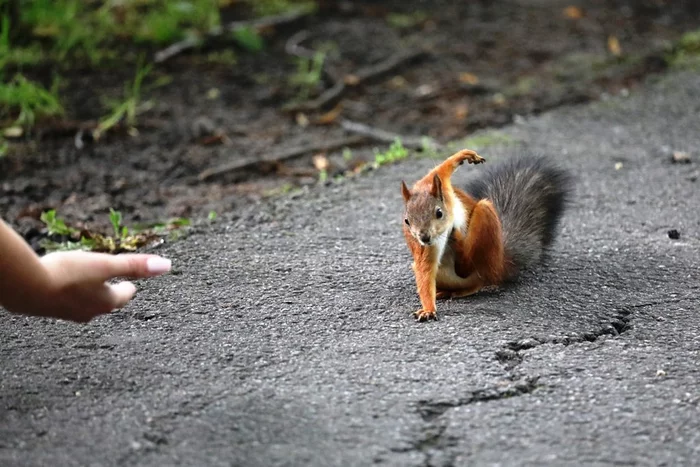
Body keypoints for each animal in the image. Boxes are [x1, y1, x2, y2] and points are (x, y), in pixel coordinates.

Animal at [402, 150, 572, 322]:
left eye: (439, 213)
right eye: (407, 221)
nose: (424, 237)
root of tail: (501, 263)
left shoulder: (439, 185)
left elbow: (440, 170)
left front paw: (465, 155)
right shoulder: (428, 246)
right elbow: (426, 268)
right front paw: (428, 309)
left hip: (486, 236)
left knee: (474, 274)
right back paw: (445, 289)